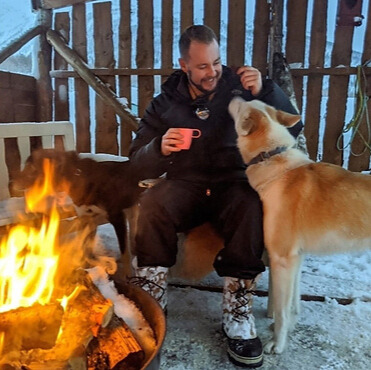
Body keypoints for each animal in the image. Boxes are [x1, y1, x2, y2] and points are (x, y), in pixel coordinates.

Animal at [230, 97, 371, 356]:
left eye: (242, 105)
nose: (235, 92)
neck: (270, 157)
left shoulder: (282, 259)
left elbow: (282, 311)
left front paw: (278, 343)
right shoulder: (296, 258)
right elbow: (293, 304)